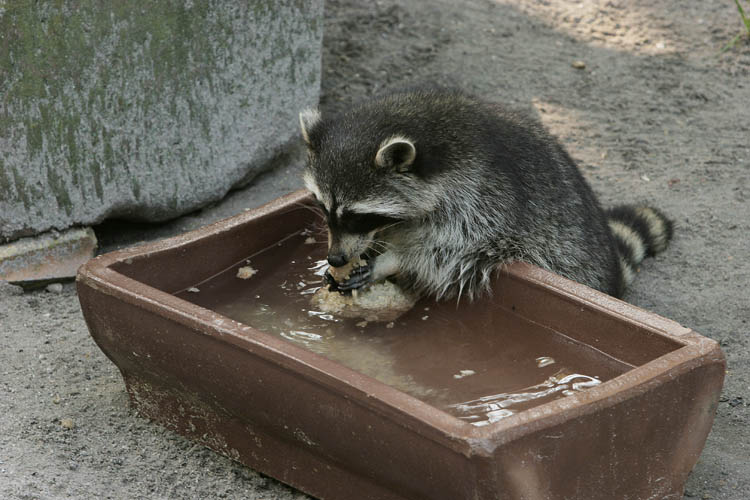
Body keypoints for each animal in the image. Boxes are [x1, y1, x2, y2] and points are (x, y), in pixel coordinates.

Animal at [300, 87, 676, 298]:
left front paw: (390, 260)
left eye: (359, 216)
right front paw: (370, 248)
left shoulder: (482, 196)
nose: (336, 258)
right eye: (322, 207)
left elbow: (450, 252)